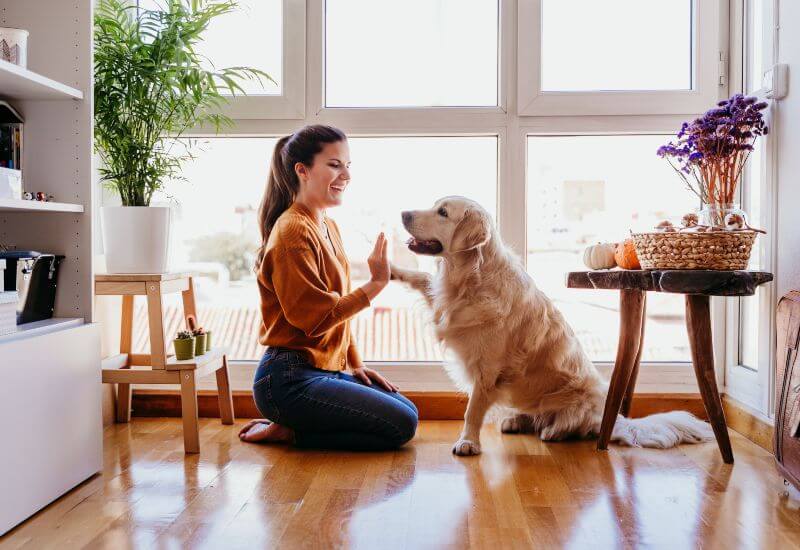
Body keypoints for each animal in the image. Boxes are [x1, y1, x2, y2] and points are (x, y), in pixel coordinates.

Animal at [394, 198, 712, 458]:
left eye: (443, 212)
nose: (403, 213)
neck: (470, 277)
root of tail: (613, 418)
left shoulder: (488, 369)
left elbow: (472, 409)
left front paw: (468, 442)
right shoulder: (444, 302)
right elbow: (420, 277)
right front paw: (390, 268)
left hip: (577, 402)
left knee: (574, 427)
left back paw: (553, 431)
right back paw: (516, 421)